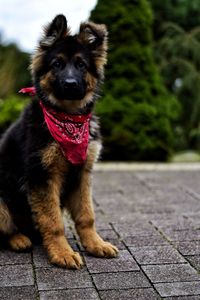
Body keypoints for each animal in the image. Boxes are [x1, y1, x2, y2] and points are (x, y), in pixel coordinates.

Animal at [0, 14, 118, 268]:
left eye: (81, 65)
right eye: (57, 64)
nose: (71, 84)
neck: (69, 119)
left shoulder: (82, 173)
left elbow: (87, 215)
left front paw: (96, 244)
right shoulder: (42, 176)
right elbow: (53, 221)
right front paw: (62, 253)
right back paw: (19, 239)